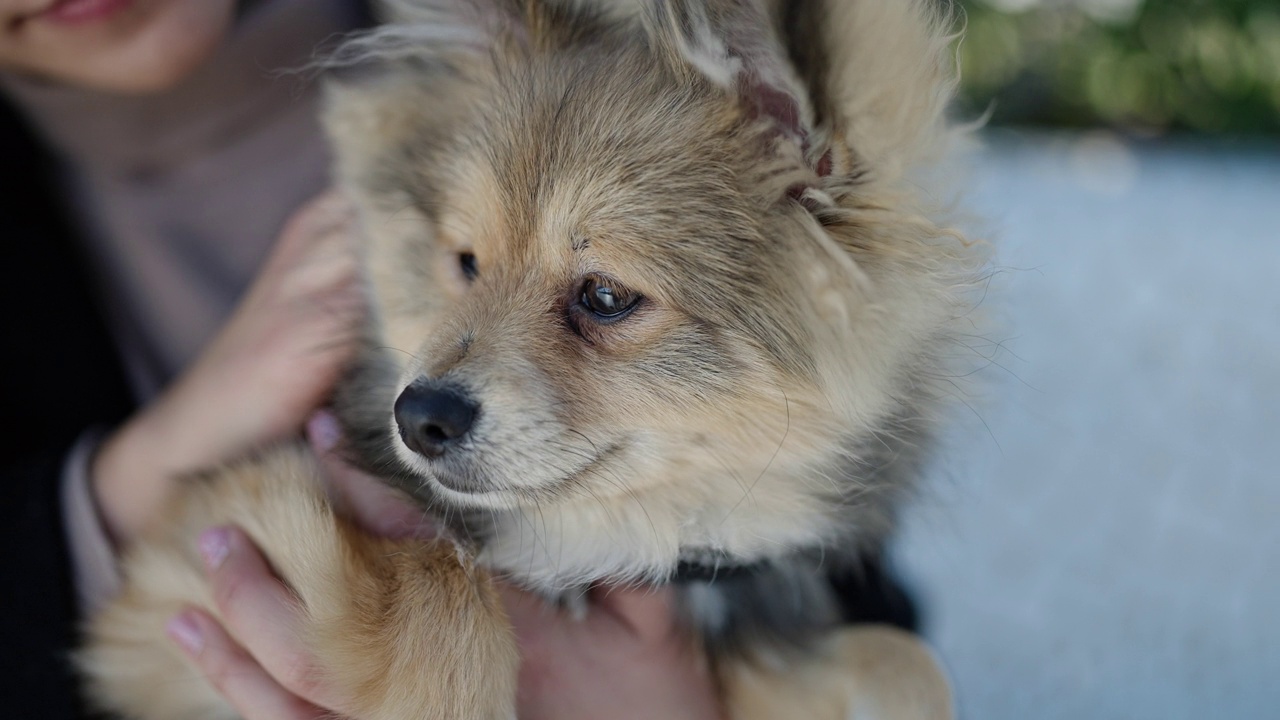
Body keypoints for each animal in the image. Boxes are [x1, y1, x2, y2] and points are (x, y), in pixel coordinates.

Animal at [80, 0, 977, 712]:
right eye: (467, 263)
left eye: (605, 296)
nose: (419, 416)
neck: (595, 541)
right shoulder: (180, 573)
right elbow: (447, 587)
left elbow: (907, 661)